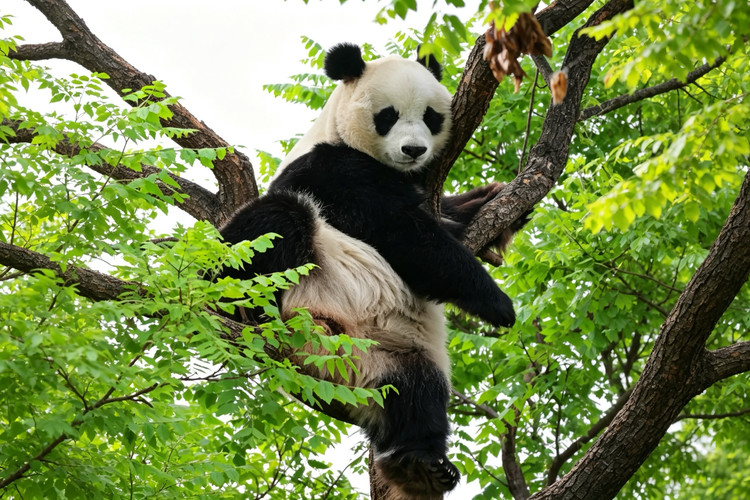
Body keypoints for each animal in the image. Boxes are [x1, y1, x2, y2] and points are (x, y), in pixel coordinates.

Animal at [220, 43, 521, 499]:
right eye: (388, 116)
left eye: (431, 116)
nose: (414, 150)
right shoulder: (329, 168)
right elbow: (404, 233)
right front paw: (498, 304)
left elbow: (448, 221)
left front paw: (493, 197)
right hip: (302, 280)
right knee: (277, 221)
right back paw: (239, 306)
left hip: (396, 351)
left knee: (419, 394)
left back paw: (417, 465)